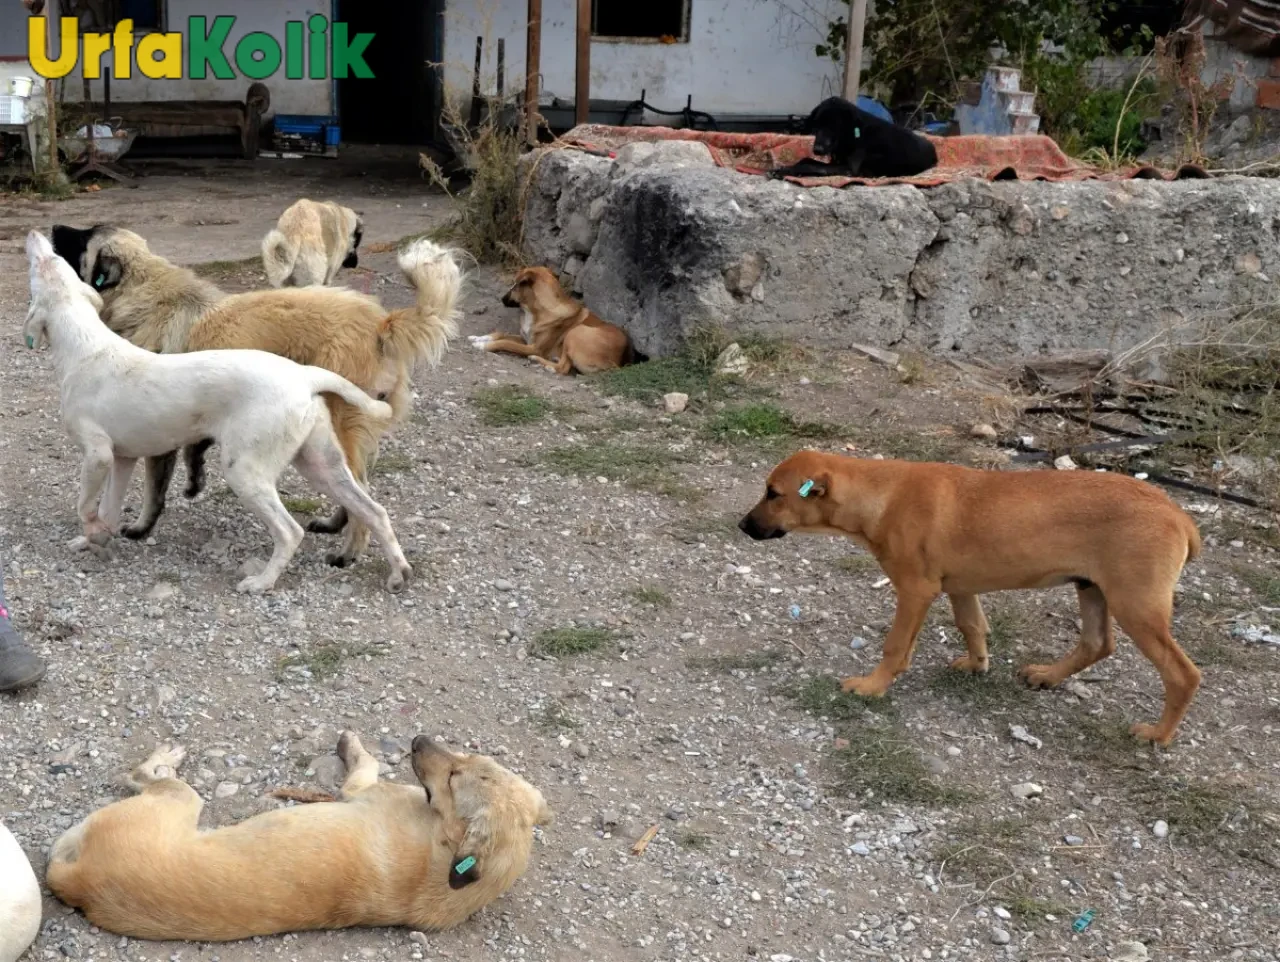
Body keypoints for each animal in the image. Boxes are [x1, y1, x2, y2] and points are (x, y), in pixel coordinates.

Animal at [22, 232, 412, 593]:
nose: (34, 236)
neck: (86, 346)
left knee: (290, 531)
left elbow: (85, 505)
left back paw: (262, 582)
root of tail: (304, 376)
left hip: (247, 471)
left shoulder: (98, 455)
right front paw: (95, 539)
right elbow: (108, 509)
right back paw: (397, 572)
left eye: (45, 263)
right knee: (374, 512)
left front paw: (91, 532)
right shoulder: (122, 460)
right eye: (55, 261)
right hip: (319, 465)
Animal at [46, 731, 550, 936]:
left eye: (453, 776)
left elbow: (365, 762)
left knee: (142, 774)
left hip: (180, 800)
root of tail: (80, 883)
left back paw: (166, 757)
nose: (417, 742)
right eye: (466, 759)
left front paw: (351, 745)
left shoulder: (359, 789)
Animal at [468, 268, 645, 378]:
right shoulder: (526, 339)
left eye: (515, 286)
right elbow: (501, 333)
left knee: (563, 368)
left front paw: (483, 345)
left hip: (576, 332)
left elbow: (505, 343)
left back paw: (541, 362)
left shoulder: (534, 347)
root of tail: (616, 362)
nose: (502, 299)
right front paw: (479, 337)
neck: (535, 311)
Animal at [737, 447, 1203, 747]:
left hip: (1135, 604)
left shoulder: (915, 591)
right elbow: (972, 625)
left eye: (774, 494)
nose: (742, 526)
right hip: (1091, 588)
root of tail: (1177, 515)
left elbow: (895, 647)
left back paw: (1158, 735)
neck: (882, 494)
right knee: (1097, 643)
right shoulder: (959, 587)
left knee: (1182, 673)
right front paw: (977, 664)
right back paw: (1047, 676)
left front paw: (872, 686)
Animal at [768, 96, 942, 181]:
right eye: (817, 125)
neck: (853, 134)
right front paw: (785, 167)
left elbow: (811, 166)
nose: (817, 150)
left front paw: (784, 171)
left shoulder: (848, 169)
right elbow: (807, 160)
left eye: (834, 126)